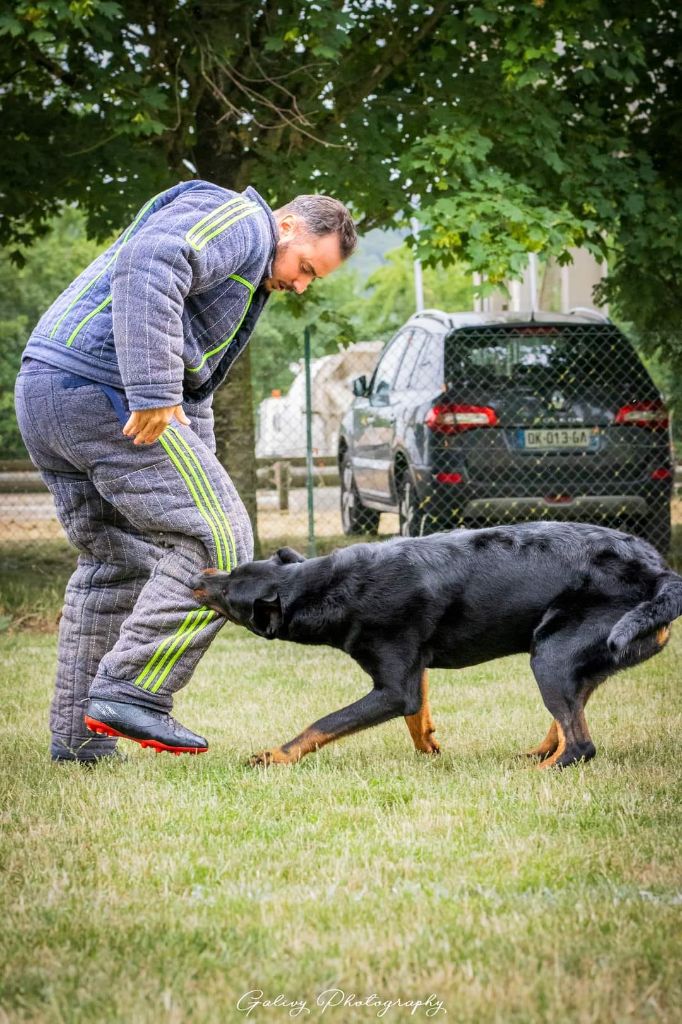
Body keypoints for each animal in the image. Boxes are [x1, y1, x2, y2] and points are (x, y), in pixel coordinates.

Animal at [192, 520, 679, 770]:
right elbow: (417, 713)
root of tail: (659, 572)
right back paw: (540, 753)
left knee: (582, 744)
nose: (199, 577)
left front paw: (276, 755)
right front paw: (429, 748)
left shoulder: (392, 688)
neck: (326, 587)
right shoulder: (412, 669)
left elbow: (325, 723)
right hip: (574, 656)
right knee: (570, 717)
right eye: (232, 571)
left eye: (229, 595)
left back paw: (543, 769)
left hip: (552, 655)